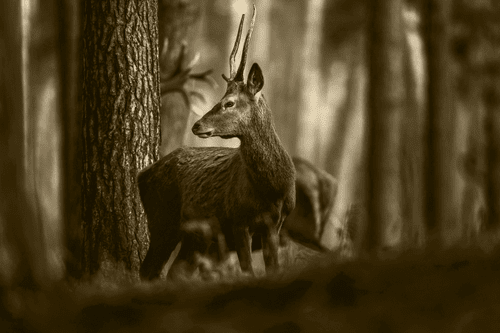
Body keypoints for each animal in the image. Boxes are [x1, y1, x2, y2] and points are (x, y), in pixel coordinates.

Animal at [138, 5, 296, 280]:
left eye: (229, 102)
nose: (196, 125)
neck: (272, 189)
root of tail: (141, 174)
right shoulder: (238, 220)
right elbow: (247, 271)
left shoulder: (274, 224)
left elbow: (272, 269)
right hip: (163, 219)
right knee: (150, 269)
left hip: (194, 237)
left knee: (174, 271)